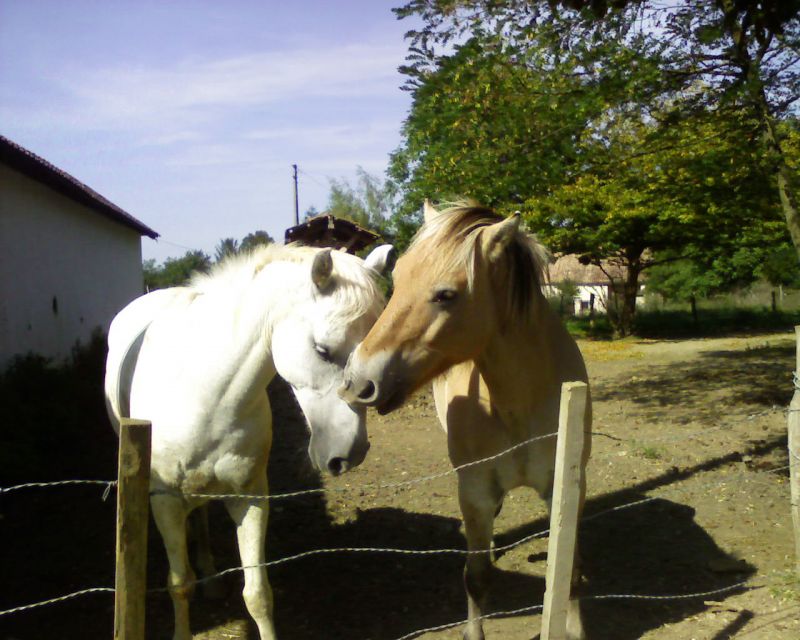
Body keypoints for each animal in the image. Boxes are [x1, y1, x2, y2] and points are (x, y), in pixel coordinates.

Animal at [104, 243, 393, 640]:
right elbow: (179, 584)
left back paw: (211, 577)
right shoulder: (164, 501)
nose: (350, 453)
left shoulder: (250, 496)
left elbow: (257, 594)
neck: (203, 392)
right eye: (322, 350)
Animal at [340, 202, 591, 640]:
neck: (516, 407)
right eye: (398, 278)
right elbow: (477, 577)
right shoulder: (474, 491)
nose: (358, 381)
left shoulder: (566, 486)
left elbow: (570, 570)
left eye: (446, 295)